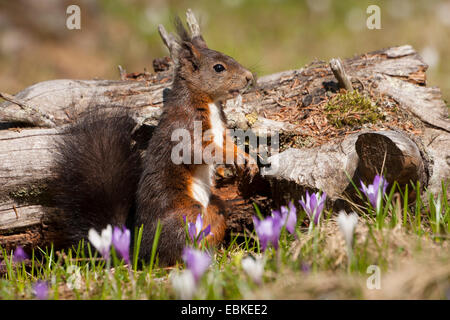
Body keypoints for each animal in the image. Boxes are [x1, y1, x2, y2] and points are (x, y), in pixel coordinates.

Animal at [52, 15, 256, 264]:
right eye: (219, 68)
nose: (249, 77)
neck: (209, 102)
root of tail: (138, 250)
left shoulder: (221, 133)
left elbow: (229, 145)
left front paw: (247, 158)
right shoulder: (185, 130)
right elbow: (201, 151)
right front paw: (234, 160)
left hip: (215, 209)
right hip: (184, 217)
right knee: (170, 253)